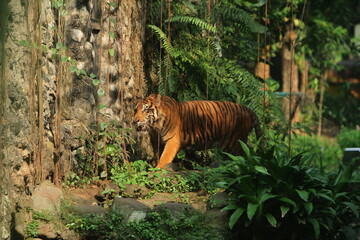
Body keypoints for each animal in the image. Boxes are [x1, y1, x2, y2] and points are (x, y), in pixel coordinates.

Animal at [134, 94, 262, 169]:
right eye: (135, 109)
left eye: (145, 110)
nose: (135, 121)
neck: (156, 127)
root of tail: (248, 109)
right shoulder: (155, 140)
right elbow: (157, 153)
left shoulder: (172, 140)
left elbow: (165, 157)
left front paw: (158, 169)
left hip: (235, 143)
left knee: (244, 157)